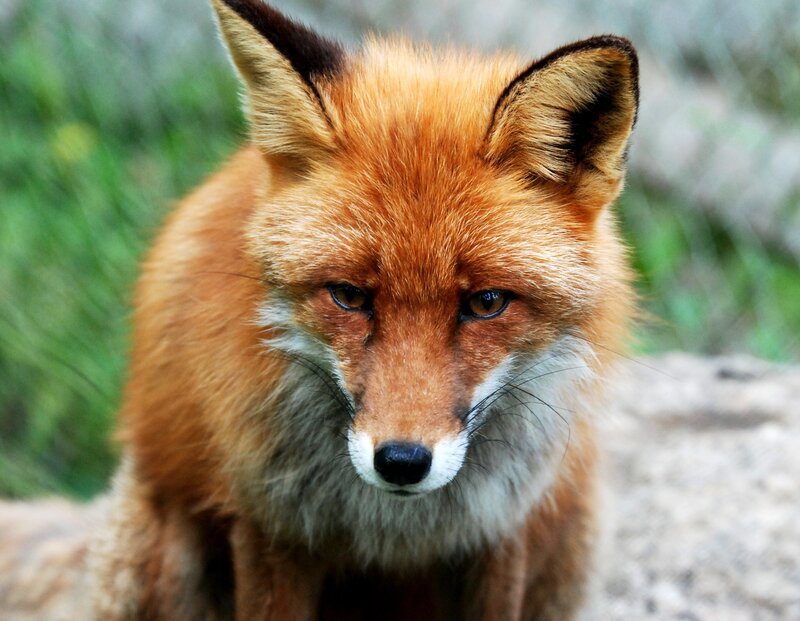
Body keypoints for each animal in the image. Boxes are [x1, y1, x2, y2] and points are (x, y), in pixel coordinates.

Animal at [0, 1, 639, 619]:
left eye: (486, 303)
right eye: (349, 296)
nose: (401, 461)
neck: (391, 532)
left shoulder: (498, 533)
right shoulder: (271, 529)